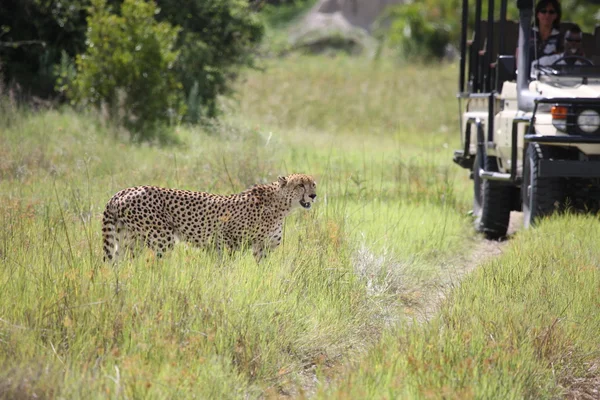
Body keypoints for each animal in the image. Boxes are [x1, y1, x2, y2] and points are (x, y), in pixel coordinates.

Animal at [102, 173, 318, 260]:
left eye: (313, 184)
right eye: (300, 185)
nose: (313, 196)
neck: (282, 206)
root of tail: (122, 191)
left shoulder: (262, 248)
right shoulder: (227, 241)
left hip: (127, 239)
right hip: (161, 239)